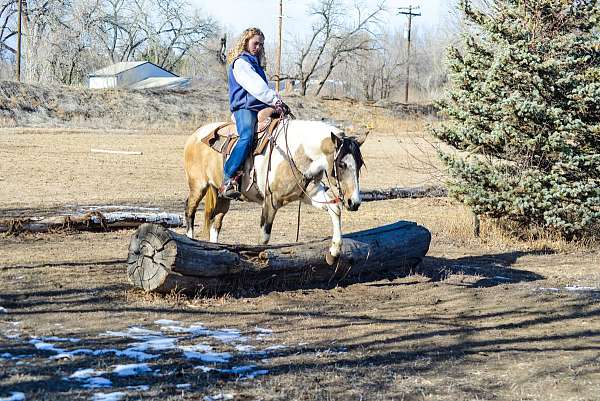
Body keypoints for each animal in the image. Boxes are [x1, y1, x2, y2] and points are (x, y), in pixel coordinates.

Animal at [183, 115, 366, 262]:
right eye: (341, 164)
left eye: (360, 164)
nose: (354, 202)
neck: (295, 152)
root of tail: (195, 135)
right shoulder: (270, 201)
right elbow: (264, 236)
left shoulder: (309, 194)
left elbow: (335, 210)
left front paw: (334, 252)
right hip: (198, 185)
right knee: (190, 210)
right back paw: (189, 241)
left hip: (222, 196)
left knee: (216, 222)